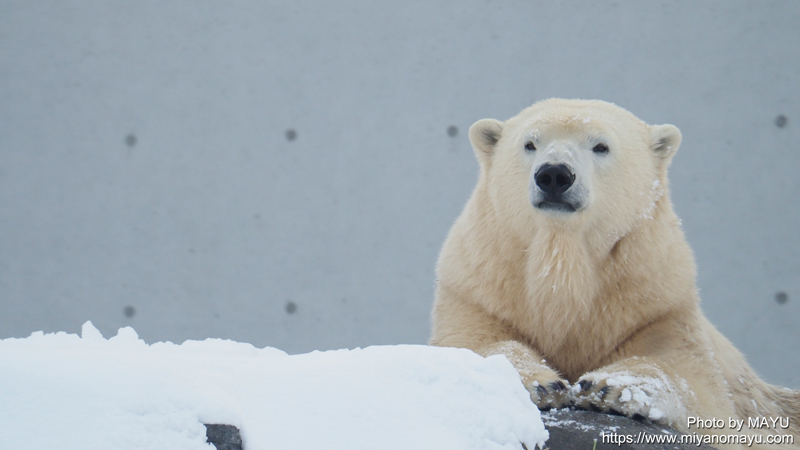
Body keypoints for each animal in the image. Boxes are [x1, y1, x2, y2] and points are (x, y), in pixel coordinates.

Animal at [432, 99, 800, 450]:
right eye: (530, 143)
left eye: (601, 146)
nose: (554, 174)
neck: (563, 260)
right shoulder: (481, 291)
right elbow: (476, 345)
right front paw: (543, 384)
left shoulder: (655, 304)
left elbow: (693, 380)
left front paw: (607, 388)